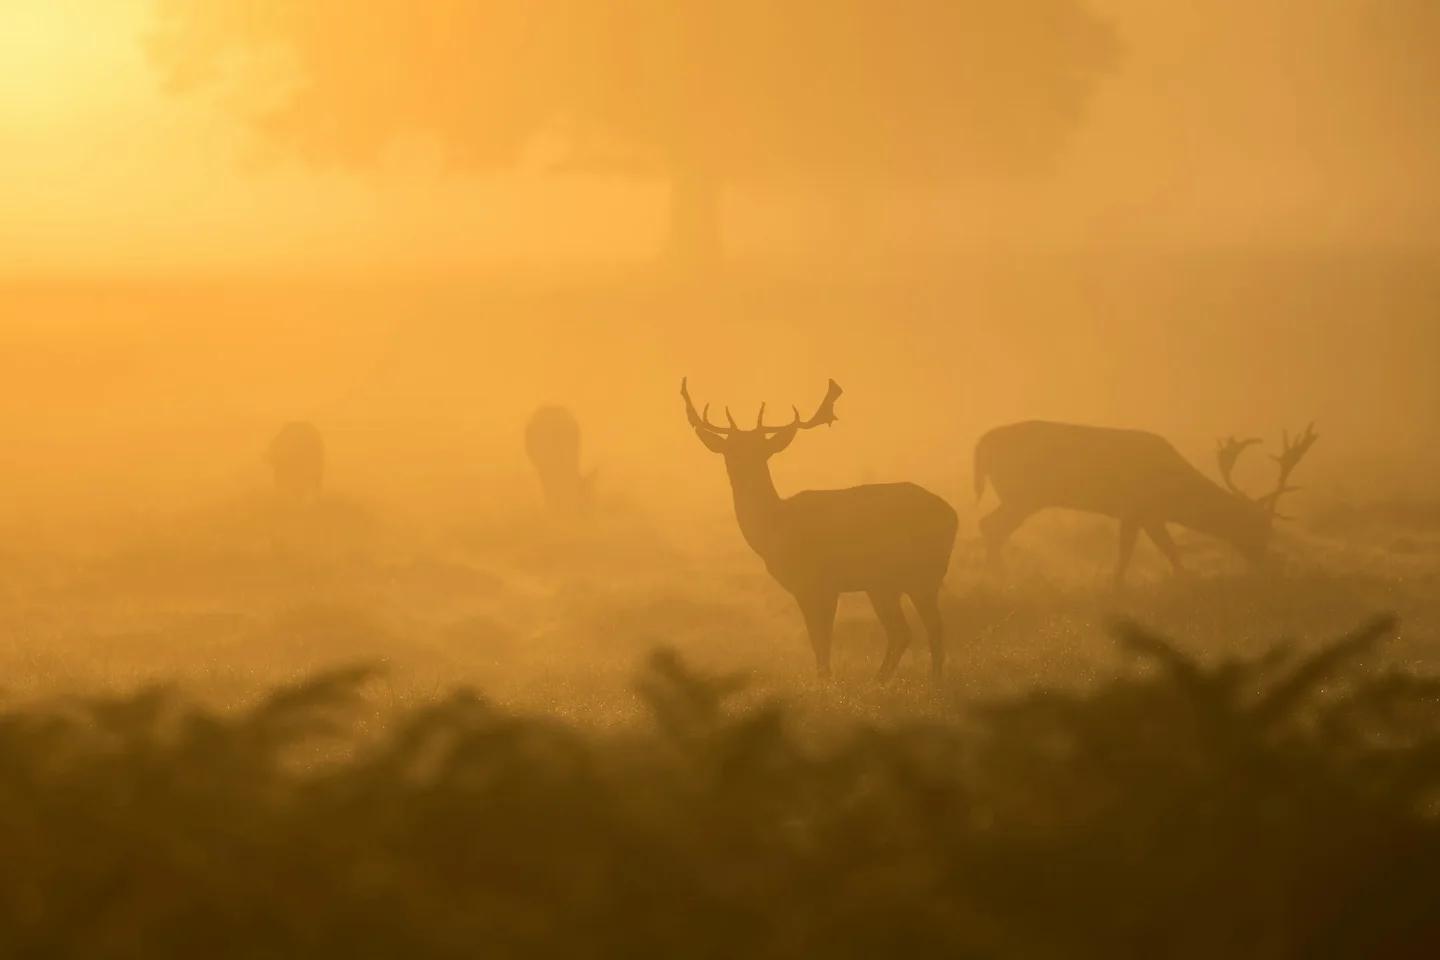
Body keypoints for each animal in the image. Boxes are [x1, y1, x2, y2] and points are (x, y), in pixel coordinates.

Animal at [681, 378, 959, 682]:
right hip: (890, 582)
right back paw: (892, 678)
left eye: (761, 449)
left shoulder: (819, 582)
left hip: (914, 574)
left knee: (923, 627)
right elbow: (818, 638)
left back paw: (917, 678)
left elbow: (821, 637)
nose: (741, 469)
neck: (774, 530)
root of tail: (952, 515)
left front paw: (824, 679)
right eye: (729, 449)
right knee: (911, 630)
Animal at [972, 420, 1319, 586]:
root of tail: (982, 443)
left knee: (989, 525)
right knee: (990, 525)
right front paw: (1186, 579)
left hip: (1022, 496)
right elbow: (1164, 549)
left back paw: (995, 576)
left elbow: (1136, 549)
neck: (1174, 494)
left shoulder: (1140, 514)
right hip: (1023, 494)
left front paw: (1118, 583)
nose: (1269, 567)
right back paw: (999, 577)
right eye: (1258, 528)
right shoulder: (1142, 509)